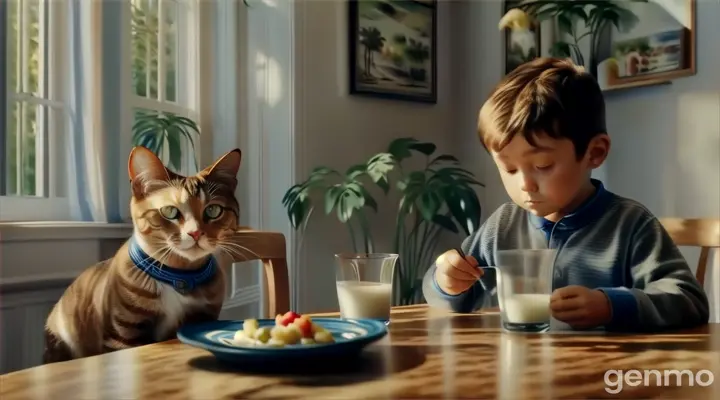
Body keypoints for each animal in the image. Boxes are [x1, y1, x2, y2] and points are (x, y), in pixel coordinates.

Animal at [43, 146, 243, 362]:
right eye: (170, 211)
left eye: (213, 210)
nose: (195, 233)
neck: (178, 277)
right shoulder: (122, 333)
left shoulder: (203, 318)